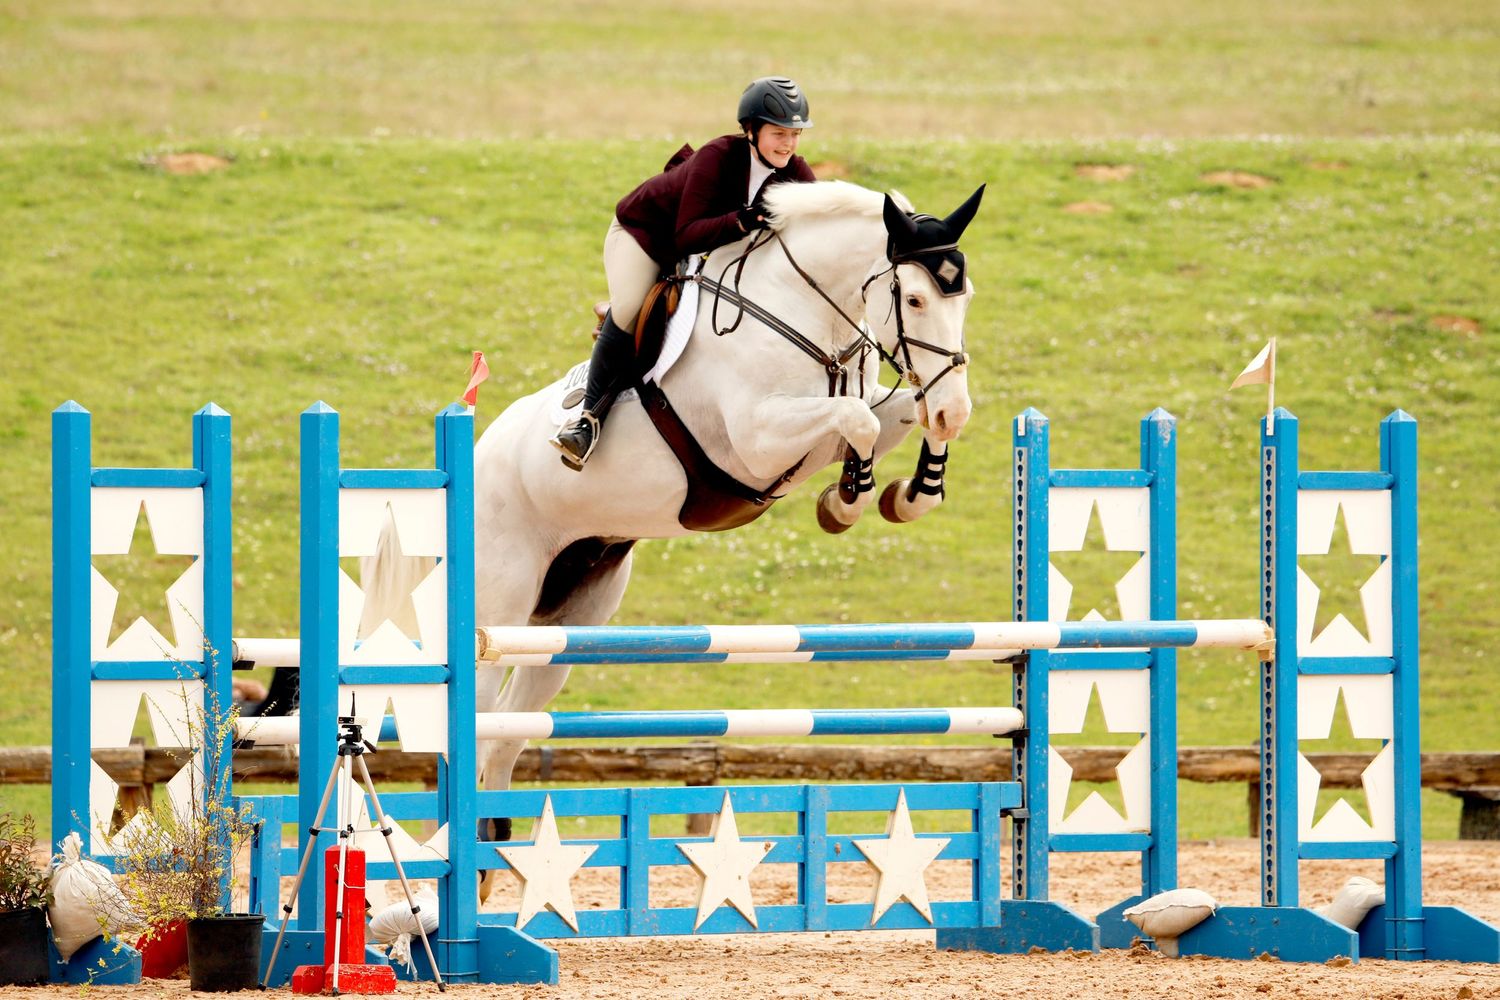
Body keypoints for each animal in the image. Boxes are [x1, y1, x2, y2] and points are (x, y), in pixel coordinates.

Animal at [362, 178, 985, 894]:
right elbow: (856, 417)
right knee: (482, 715)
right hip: (498, 605)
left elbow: (888, 414)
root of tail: (471, 457)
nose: (956, 406)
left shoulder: (848, 416)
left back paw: (494, 864)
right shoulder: (756, 440)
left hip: (570, 621)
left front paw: (903, 493)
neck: (807, 313)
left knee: (509, 732)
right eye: (913, 299)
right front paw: (848, 502)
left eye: (964, 297)